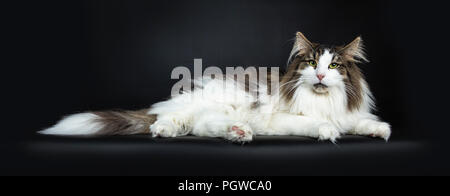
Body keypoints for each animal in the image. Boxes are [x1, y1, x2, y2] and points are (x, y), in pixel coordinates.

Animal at [38, 32, 390, 142]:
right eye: (311, 63)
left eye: (333, 66)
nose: (319, 76)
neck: (322, 99)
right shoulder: (282, 118)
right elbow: (317, 123)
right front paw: (327, 130)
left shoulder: (348, 113)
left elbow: (359, 122)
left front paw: (378, 129)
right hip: (209, 103)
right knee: (171, 122)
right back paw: (167, 130)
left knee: (204, 127)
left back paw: (239, 132)